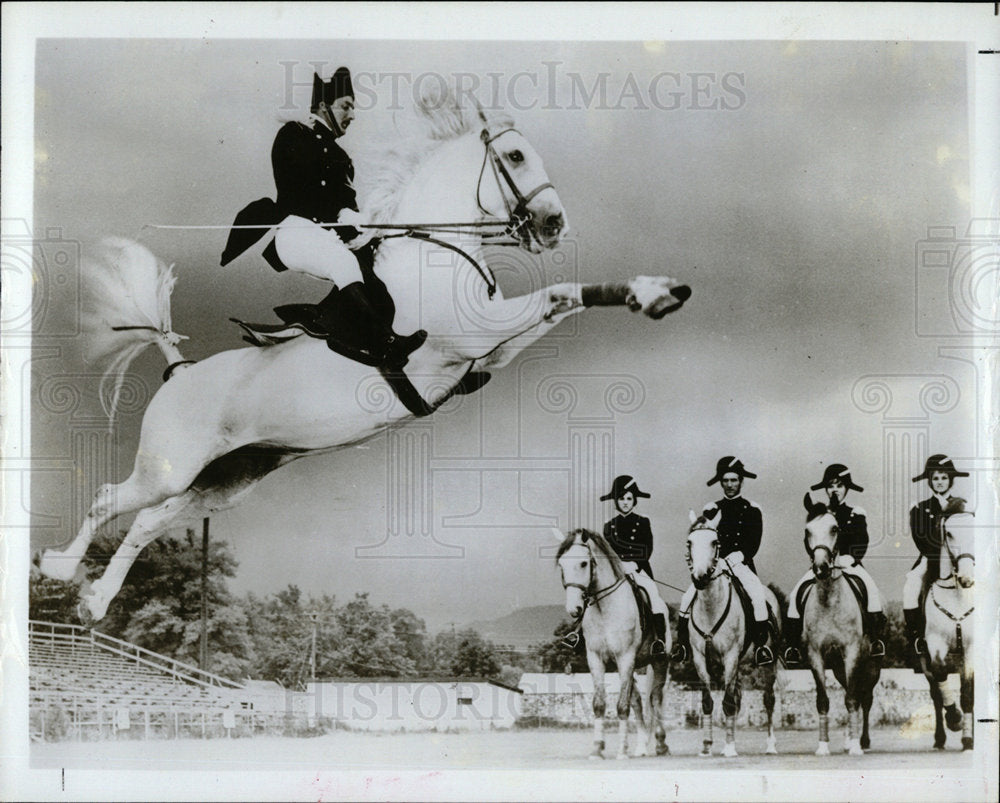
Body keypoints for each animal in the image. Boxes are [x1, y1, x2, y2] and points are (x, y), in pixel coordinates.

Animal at [41, 85, 696, 620]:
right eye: (514, 157)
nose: (553, 224)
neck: (438, 249)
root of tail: (180, 372)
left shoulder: (489, 350)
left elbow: (560, 303)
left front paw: (653, 291)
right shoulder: (477, 332)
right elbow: (558, 292)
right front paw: (651, 292)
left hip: (227, 479)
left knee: (147, 522)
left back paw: (95, 602)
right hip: (170, 468)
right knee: (110, 500)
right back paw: (59, 569)